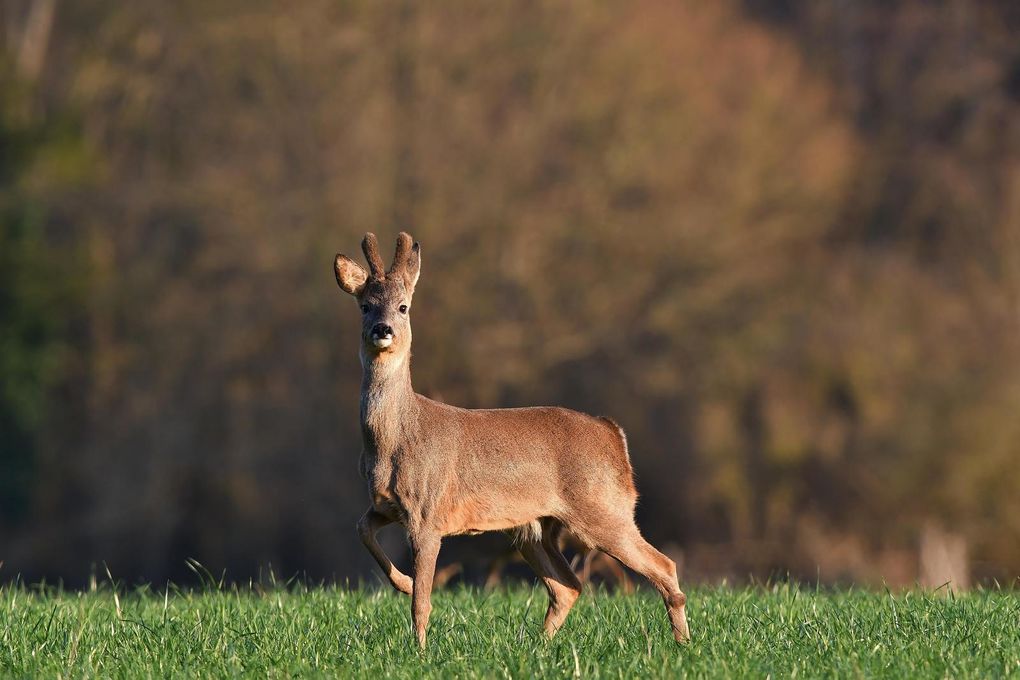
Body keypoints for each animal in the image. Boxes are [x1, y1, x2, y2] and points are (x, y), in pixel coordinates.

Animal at [334, 231, 693, 648]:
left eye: (404, 306)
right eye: (365, 306)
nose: (383, 329)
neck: (394, 439)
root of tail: (613, 433)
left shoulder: (428, 511)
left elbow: (422, 601)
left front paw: (419, 648)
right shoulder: (387, 505)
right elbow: (361, 529)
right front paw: (404, 583)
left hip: (603, 508)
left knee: (664, 566)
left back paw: (682, 644)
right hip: (534, 527)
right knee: (568, 586)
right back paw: (539, 645)